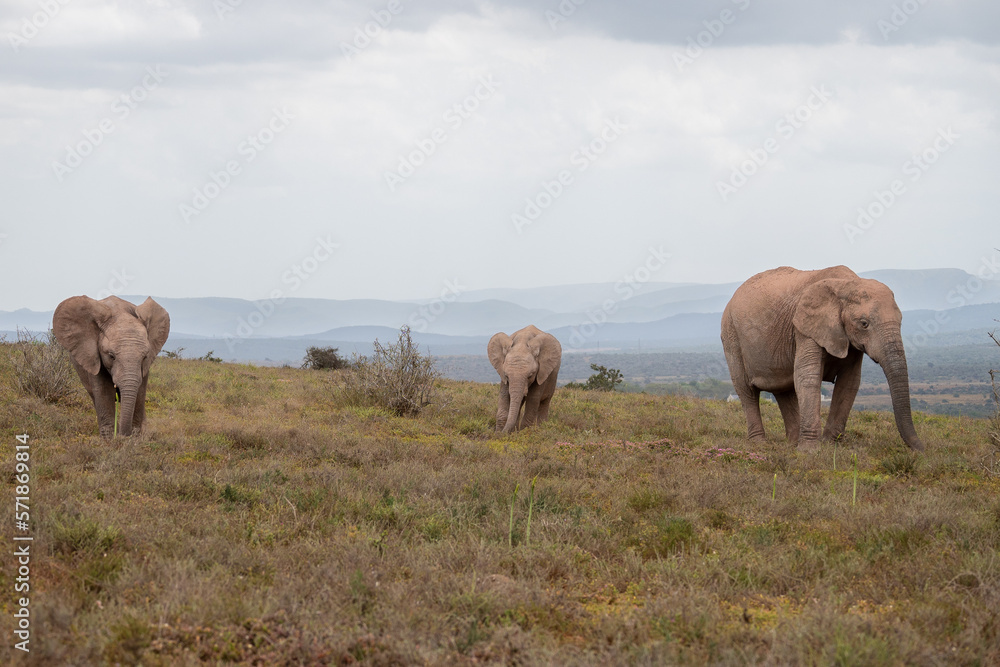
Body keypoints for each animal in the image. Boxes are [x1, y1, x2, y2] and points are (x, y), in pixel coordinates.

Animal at [52, 296, 170, 438]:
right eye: (111, 356)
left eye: (144, 357)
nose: (123, 435)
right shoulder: (94, 356)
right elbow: (103, 391)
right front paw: (109, 439)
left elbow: (140, 392)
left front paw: (135, 438)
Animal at [720, 268, 920, 452]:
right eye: (864, 324)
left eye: (901, 321)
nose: (920, 449)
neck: (847, 284)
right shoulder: (805, 328)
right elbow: (808, 377)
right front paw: (809, 451)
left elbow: (850, 382)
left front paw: (830, 445)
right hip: (731, 335)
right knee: (747, 390)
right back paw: (760, 444)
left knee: (783, 389)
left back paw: (792, 444)